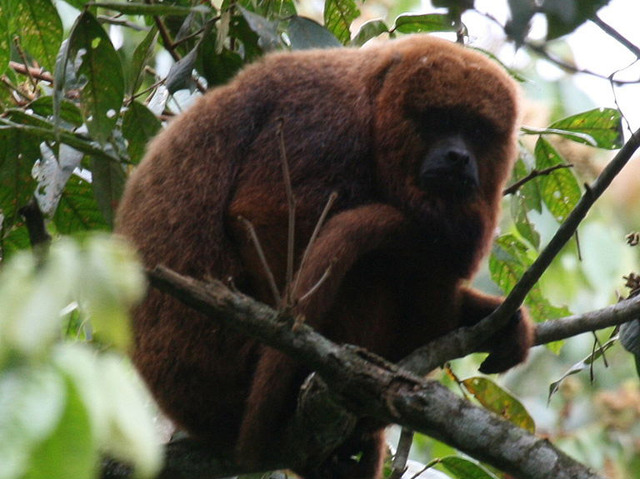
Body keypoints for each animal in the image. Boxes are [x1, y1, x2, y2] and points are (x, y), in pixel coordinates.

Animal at [115, 34, 534, 479]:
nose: (458, 156)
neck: (373, 105)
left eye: (477, 131)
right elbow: (267, 216)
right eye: (436, 120)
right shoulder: (324, 121)